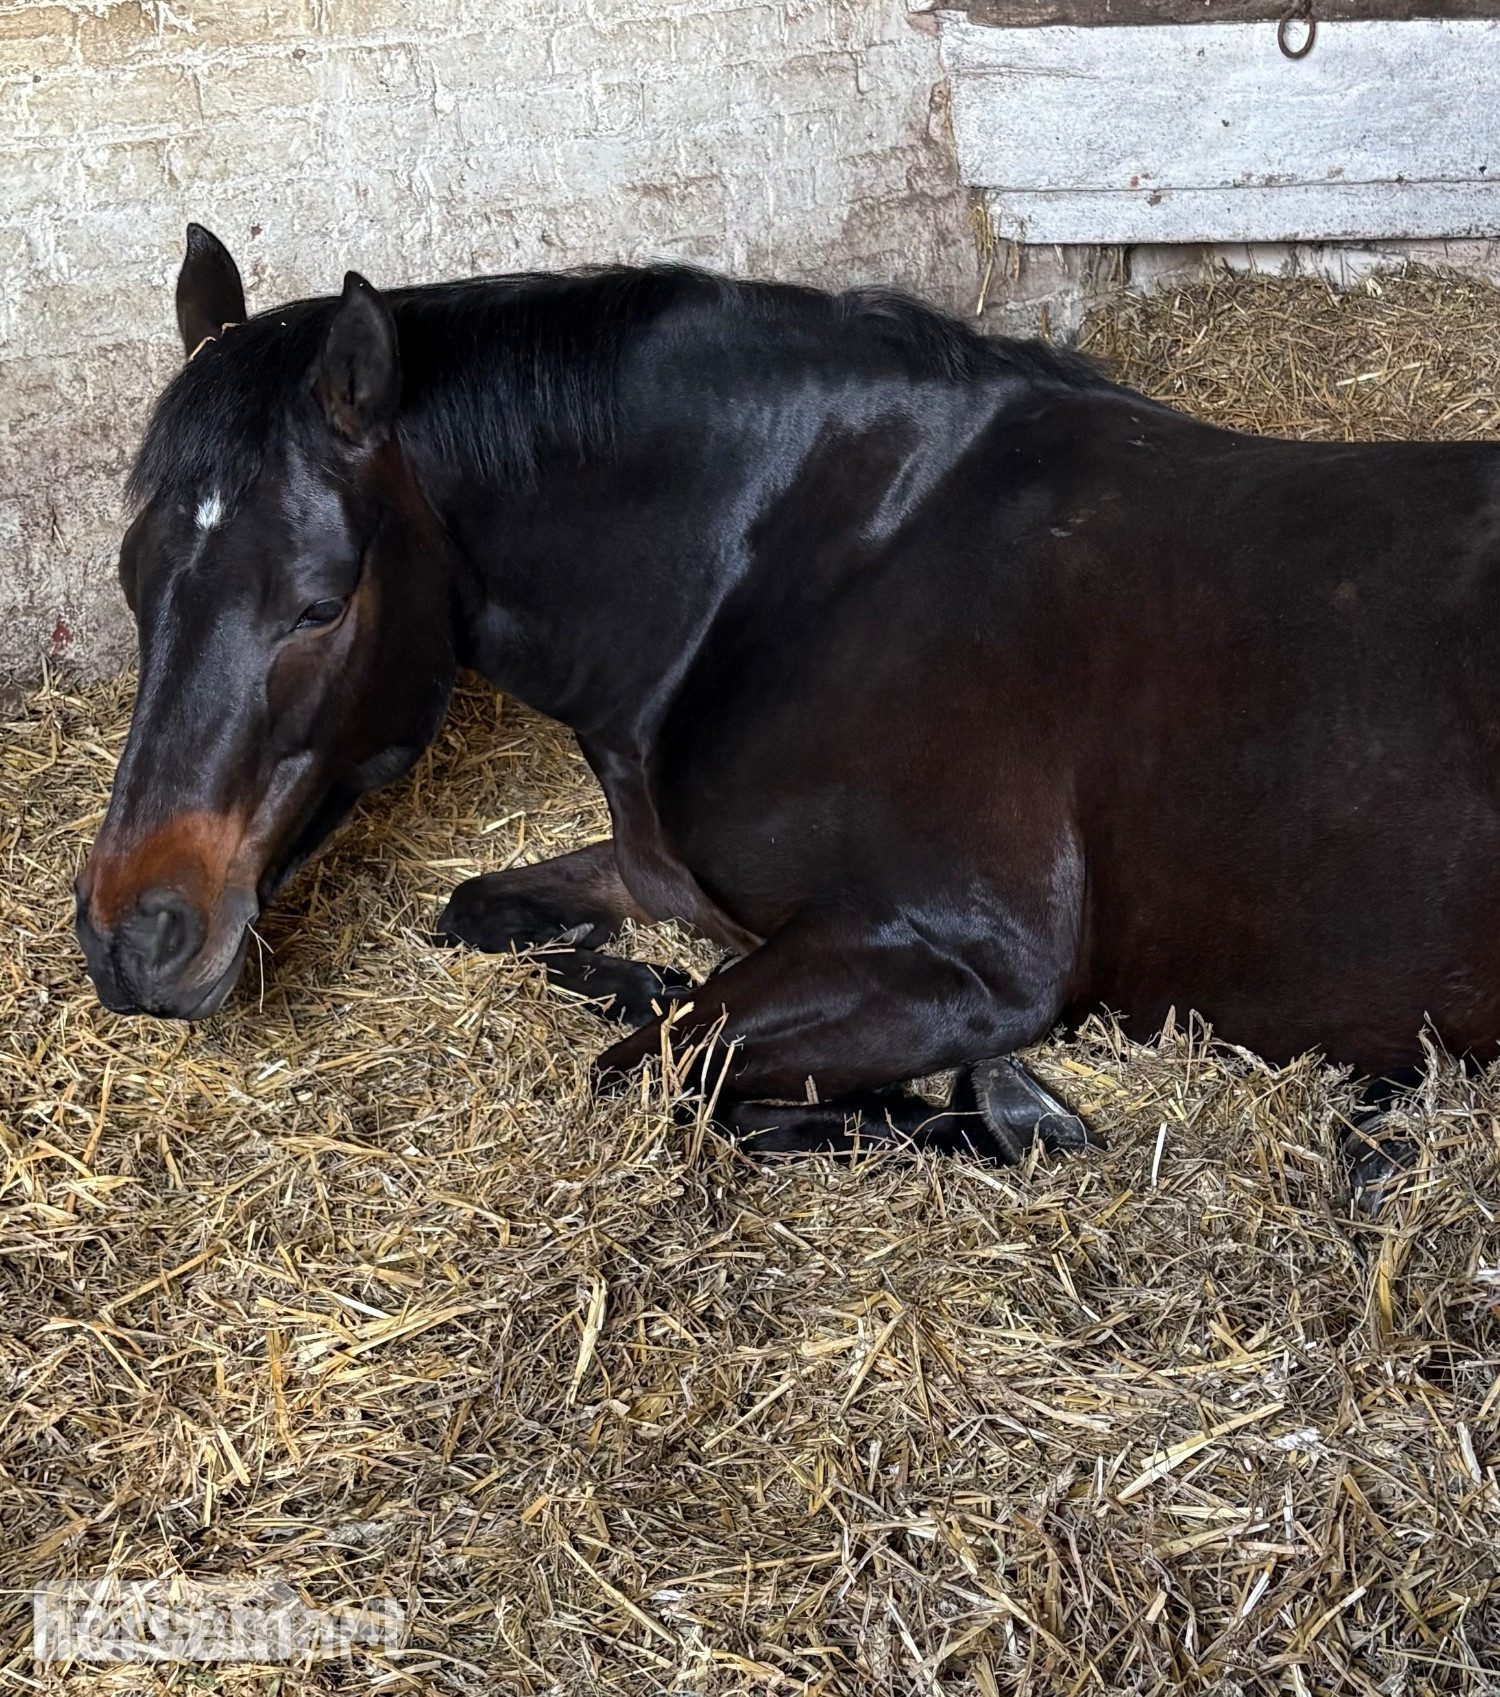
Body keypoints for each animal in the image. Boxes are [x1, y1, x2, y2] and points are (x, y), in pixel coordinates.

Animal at [75, 223, 1500, 1166]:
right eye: (134, 580)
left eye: (319, 603)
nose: (131, 939)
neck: (795, 565)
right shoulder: (670, 874)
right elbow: (498, 919)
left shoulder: (965, 959)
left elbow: (658, 1067)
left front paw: (1004, 1109)